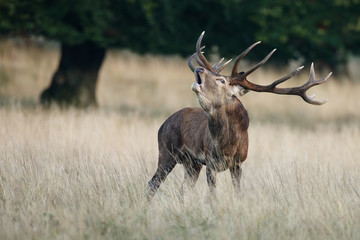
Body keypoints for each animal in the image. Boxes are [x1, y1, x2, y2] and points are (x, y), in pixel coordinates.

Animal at [147, 31, 332, 201]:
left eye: (221, 80)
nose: (199, 69)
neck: (227, 145)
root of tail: (163, 124)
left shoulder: (238, 162)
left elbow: (237, 192)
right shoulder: (210, 162)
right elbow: (213, 196)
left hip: (191, 164)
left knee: (181, 190)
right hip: (167, 151)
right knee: (153, 183)